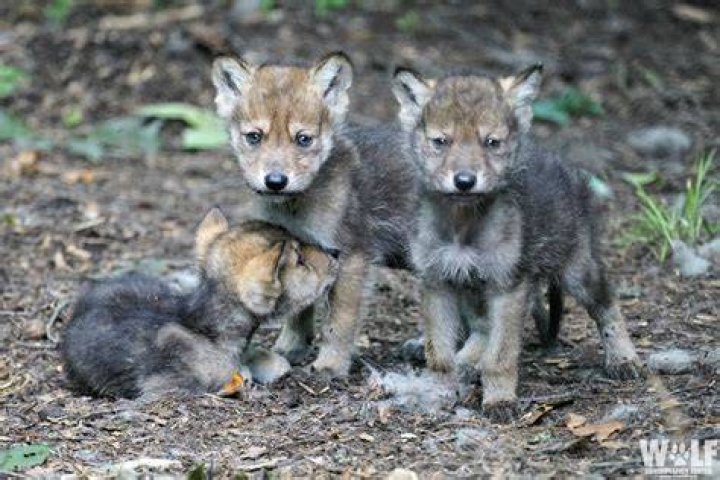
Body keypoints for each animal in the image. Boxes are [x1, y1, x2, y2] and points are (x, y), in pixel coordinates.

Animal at [211, 52, 417, 375]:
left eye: (303, 139)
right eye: (254, 137)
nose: (276, 181)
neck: (296, 208)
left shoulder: (353, 257)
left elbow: (339, 322)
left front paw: (331, 365)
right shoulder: (301, 248)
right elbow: (300, 305)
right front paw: (292, 347)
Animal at [392, 64, 643, 422]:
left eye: (491, 142)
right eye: (441, 141)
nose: (465, 181)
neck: (463, 225)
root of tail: (564, 166)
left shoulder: (507, 286)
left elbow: (500, 355)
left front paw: (499, 400)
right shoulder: (437, 281)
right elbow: (439, 354)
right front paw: (438, 393)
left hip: (577, 272)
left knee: (607, 305)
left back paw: (623, 359)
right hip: (472, 286)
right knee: (480, 328)